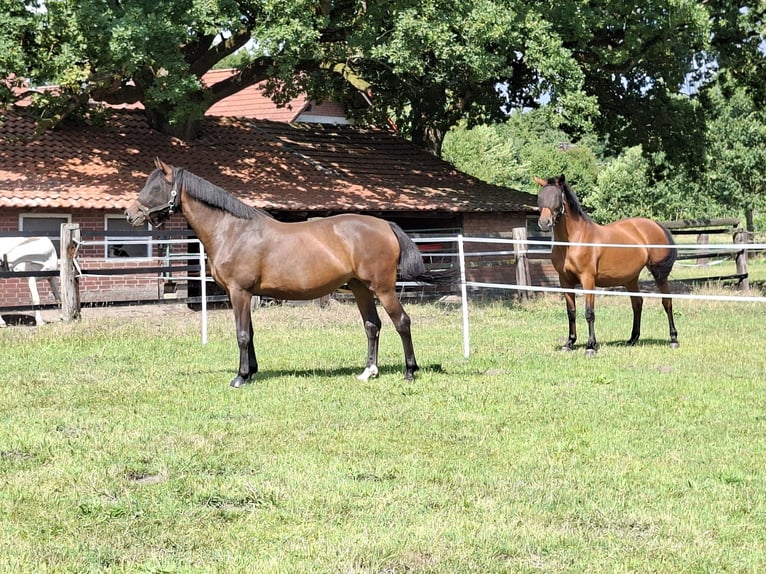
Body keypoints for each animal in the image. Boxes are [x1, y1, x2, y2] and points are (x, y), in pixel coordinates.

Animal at [126, 158, 455, 387]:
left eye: (155, 187)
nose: (130, 214)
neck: (232, 230)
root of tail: (385, 224)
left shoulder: (239, 292)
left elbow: (242, 334)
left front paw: (240, 377)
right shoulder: (246, 295)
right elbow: (251, 333)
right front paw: (252, 372)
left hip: (383, 288)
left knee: (402, 322)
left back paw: (410, 372)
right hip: (360, 288)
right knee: (372, 326)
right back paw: (368, 372)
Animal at [535, 175, 679, 355]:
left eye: (556, 198)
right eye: (540, 197)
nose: (544, 223)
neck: (574, 240)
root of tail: (656, 225)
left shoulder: (588, 280)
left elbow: (589, 313)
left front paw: (591, 346)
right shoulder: (565, 281)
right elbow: (571, 312)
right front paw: (569, 343)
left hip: (659, 275)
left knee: (667, 302)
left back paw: (673, 339)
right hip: (631, 278)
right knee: (637, 304)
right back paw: (632, 339)